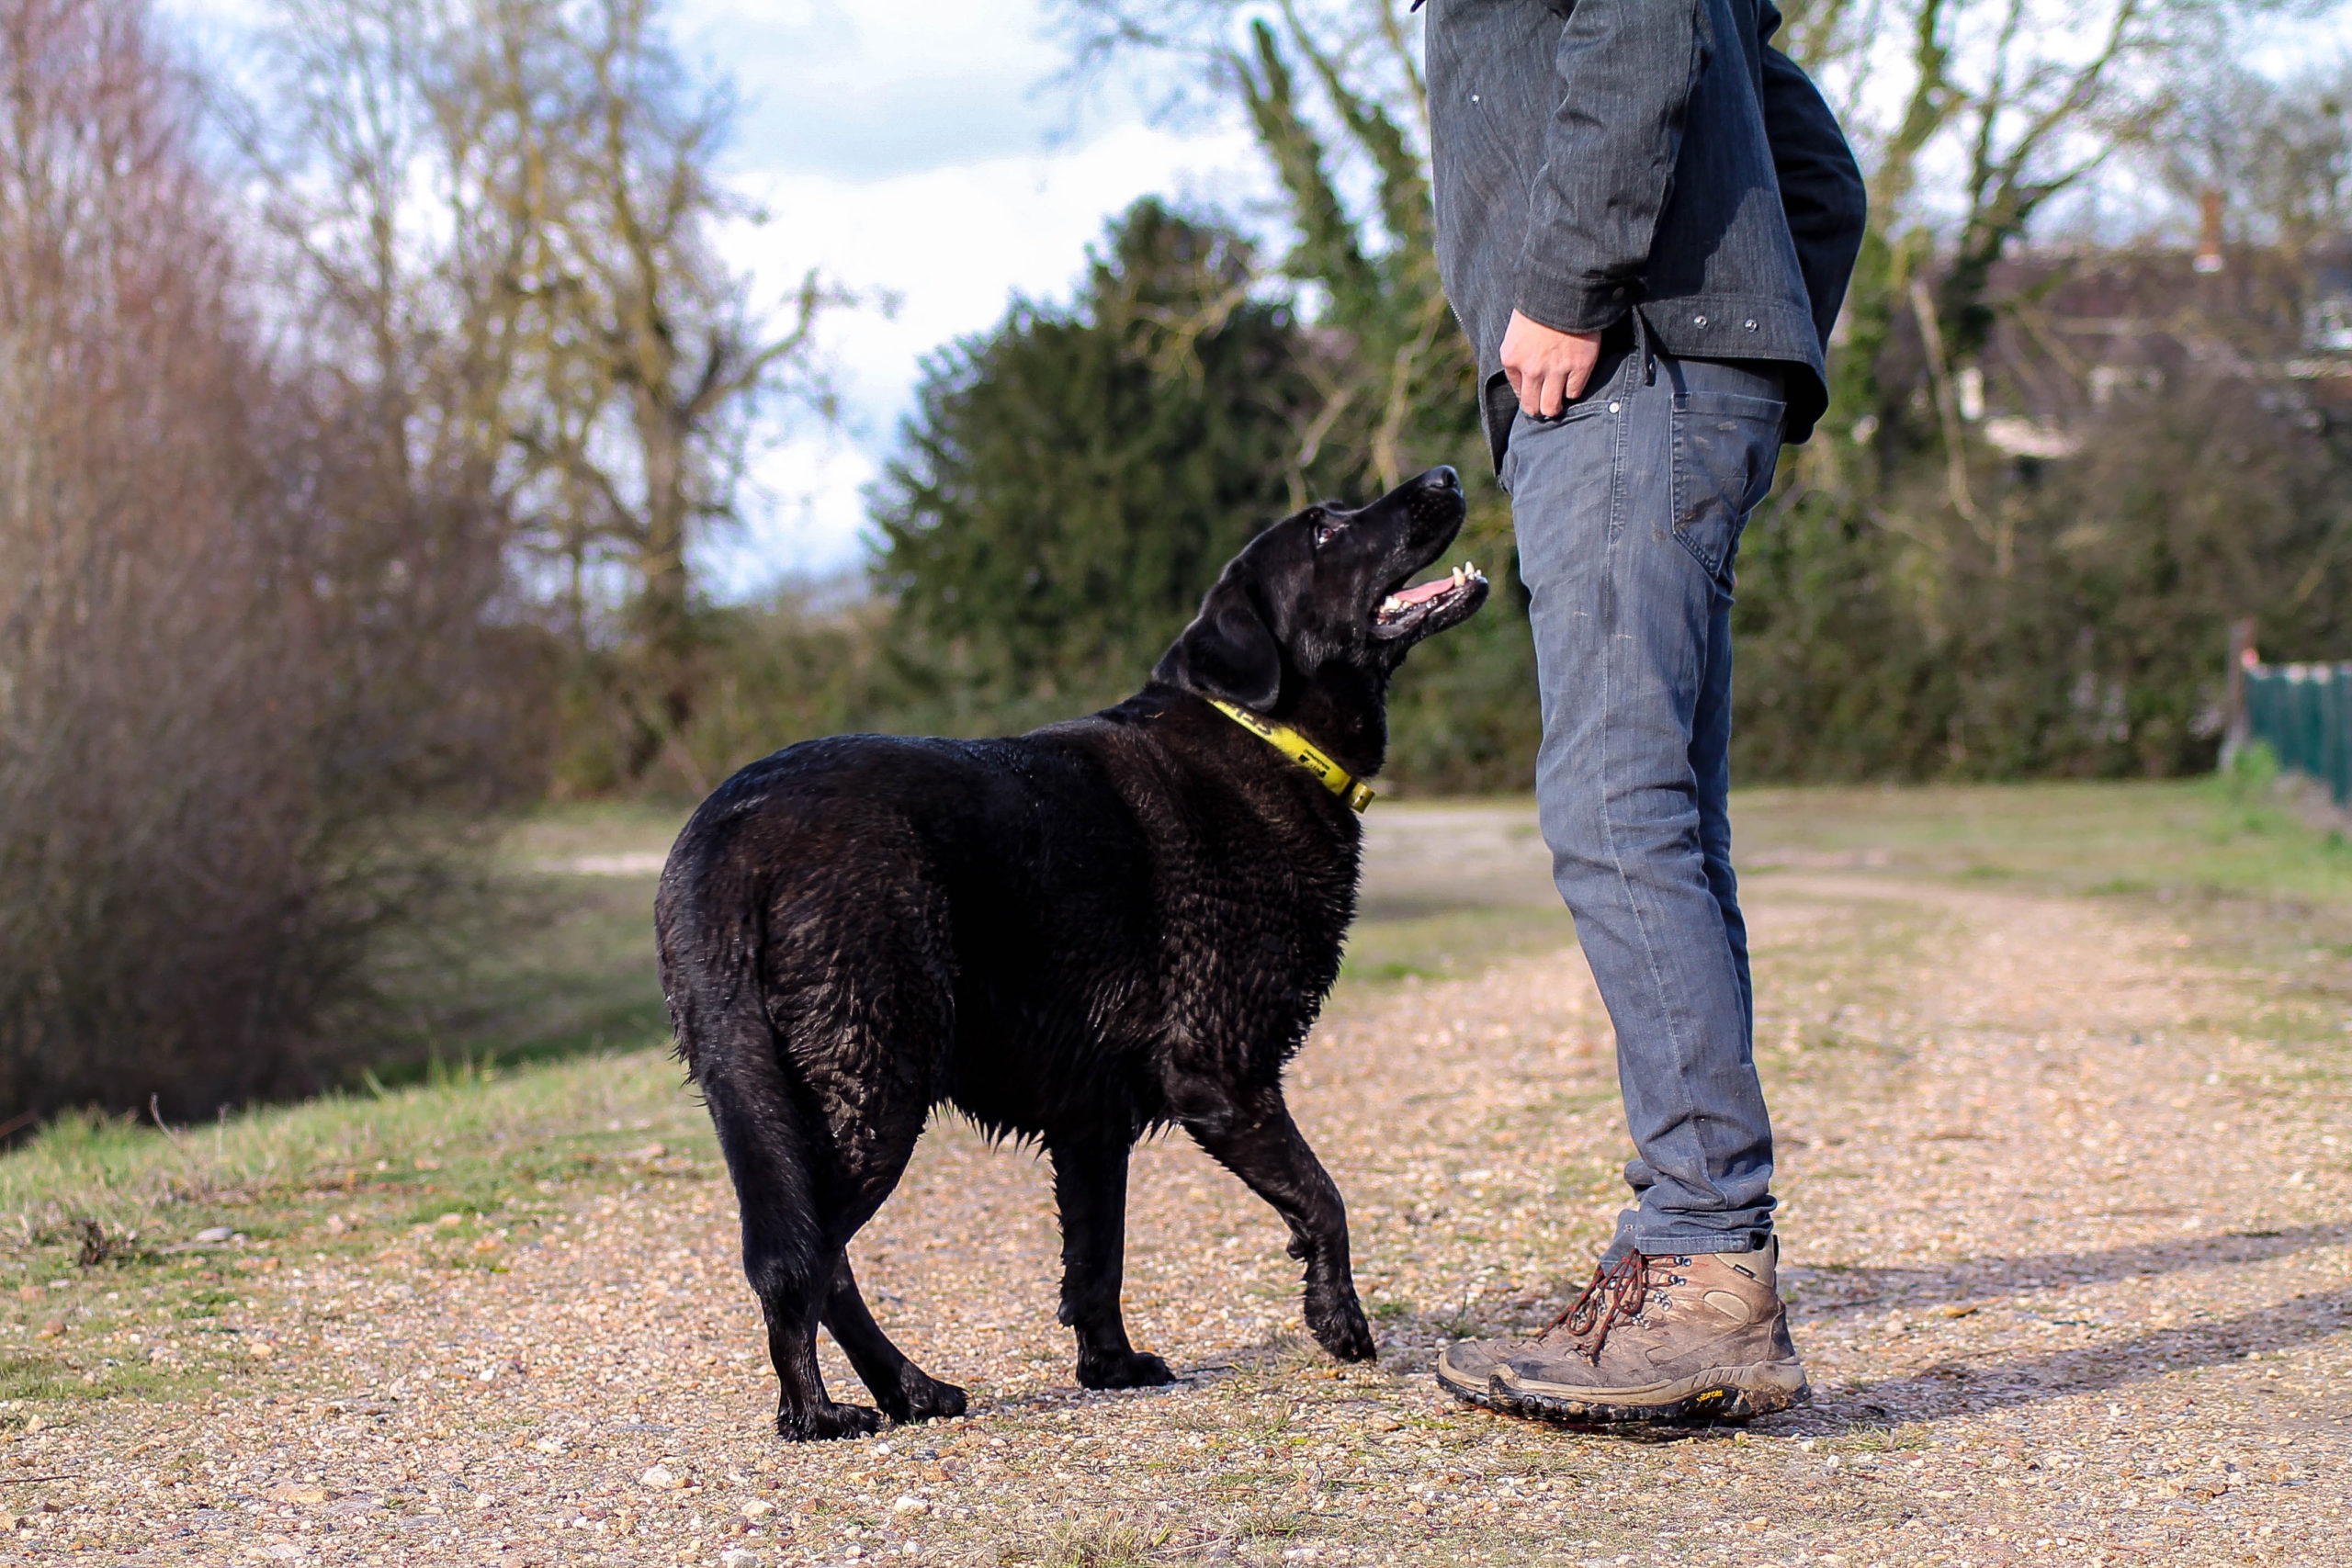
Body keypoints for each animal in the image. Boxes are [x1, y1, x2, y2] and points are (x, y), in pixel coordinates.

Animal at [653, 463, 1476, 1438]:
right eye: (1322, 531)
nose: (1447, 475)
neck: (1264, 733)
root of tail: (731, 831)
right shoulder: (1222, 1073)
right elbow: (1324, 1196)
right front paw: (1339, 1319)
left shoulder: (1091, 1124)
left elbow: (1097, 1259)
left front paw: (1110, 1368)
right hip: (870, 1089)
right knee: (803, 1259)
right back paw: (818, 1411)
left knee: (825, 1261)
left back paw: (911, 1390)